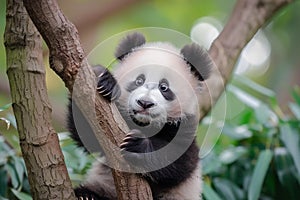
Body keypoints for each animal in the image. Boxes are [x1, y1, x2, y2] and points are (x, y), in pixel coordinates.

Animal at [68, 32, 213, 199]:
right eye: (139, 80)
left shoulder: (183, 128)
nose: (145, 103)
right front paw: (105, 79)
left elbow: (178, 162)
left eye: (164, 87)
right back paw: (86, 195)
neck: (144, 124)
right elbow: (87, 136)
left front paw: (137, 145)